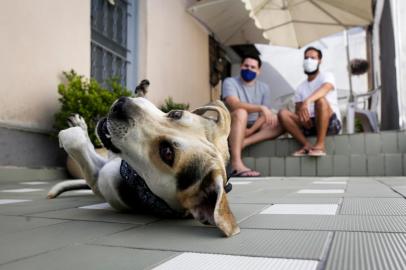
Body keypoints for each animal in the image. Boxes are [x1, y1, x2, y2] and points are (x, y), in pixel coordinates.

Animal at [47, 95, 239, 236]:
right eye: (176, 114)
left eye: (167, 152)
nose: (121, 105)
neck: (133, 174)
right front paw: (79, 125)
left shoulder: (98, 180)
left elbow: (74, 140)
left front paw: (71, 134)